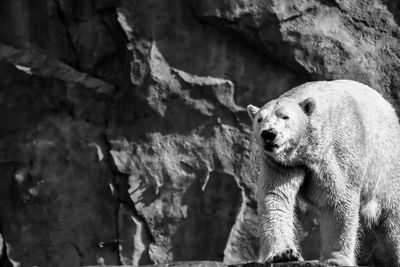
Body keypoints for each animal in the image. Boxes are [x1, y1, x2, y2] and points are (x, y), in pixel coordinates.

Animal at [247, 80, 400, 266]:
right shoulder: (280, 163)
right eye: (259, 119)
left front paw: (336, 260)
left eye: (285, 117)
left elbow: (339, 197)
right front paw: (284, 254)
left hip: (386, 166)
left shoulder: (337, 150)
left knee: (392, 217)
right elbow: (276, 196)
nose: (268, 134)